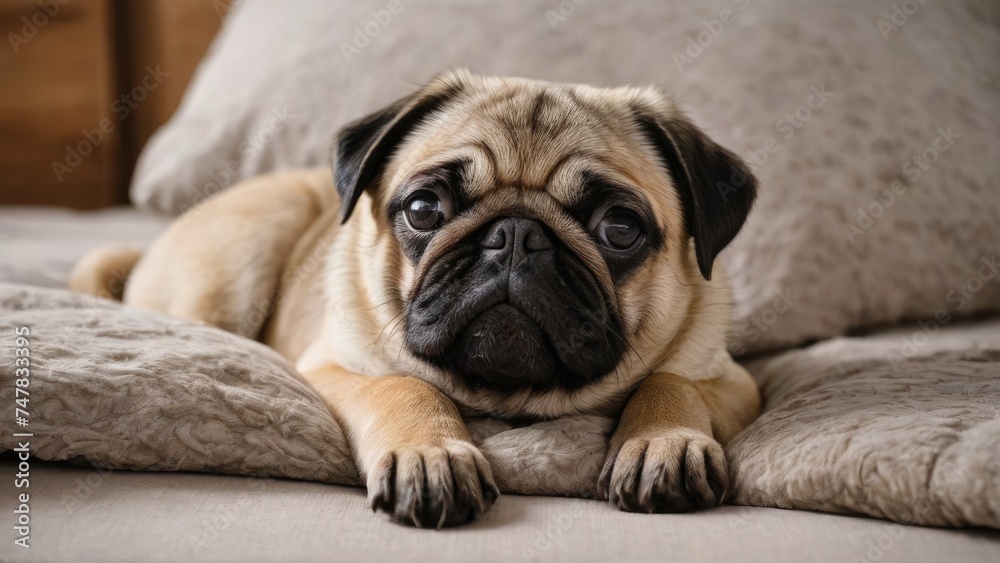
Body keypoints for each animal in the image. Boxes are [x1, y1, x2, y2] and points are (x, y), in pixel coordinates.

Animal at [70, 69, 756, 528]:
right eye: (425, 209)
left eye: (620, 228)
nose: (516, 236)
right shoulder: (337, 366)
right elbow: (403, 386)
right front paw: (430, 453)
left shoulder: (735, 382)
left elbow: (672, 382)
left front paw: (663, 441)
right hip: (245, 251)